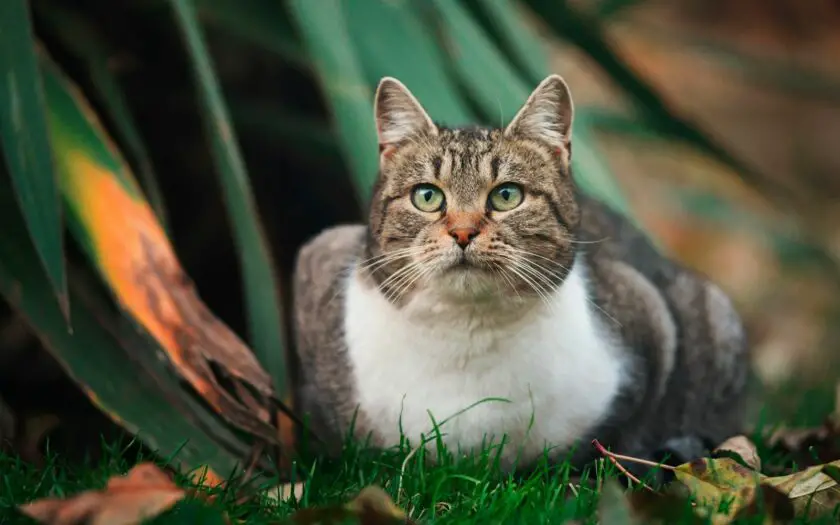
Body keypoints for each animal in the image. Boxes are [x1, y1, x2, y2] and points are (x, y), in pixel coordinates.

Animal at [292, 72, 752, 470]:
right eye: (427, 196)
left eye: (506, 195)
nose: (463, 232)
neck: (466, 335)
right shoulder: (319, 255)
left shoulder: (650, 313)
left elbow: (628, 429)